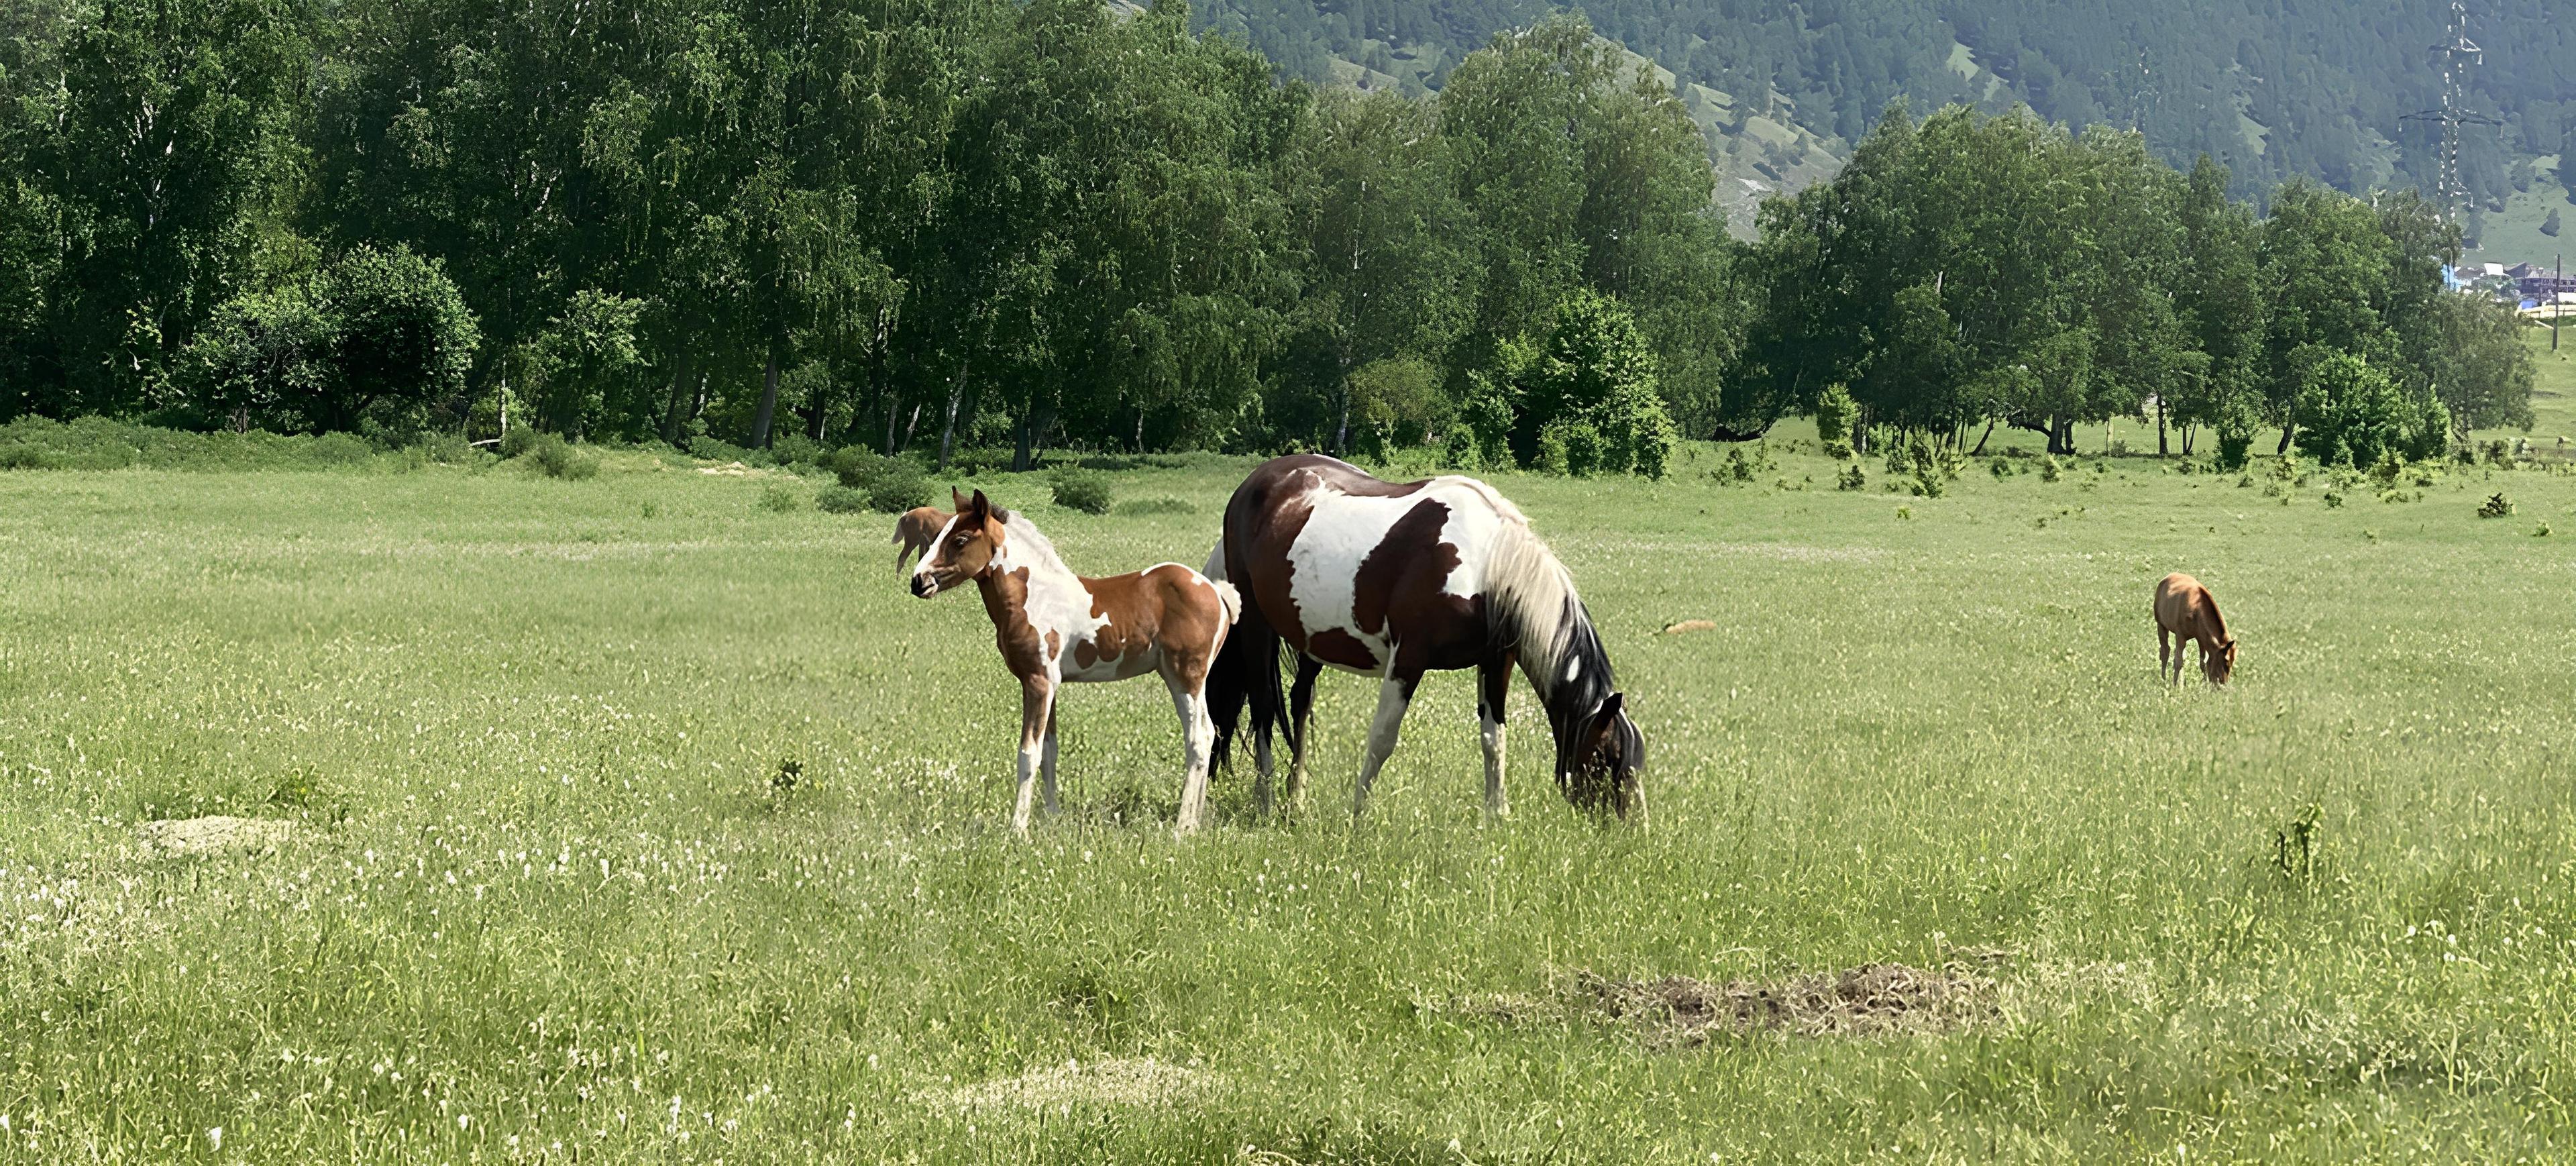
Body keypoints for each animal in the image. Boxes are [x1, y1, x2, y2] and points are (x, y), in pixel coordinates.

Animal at [912, 486, 1241, 834]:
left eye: (960, 540)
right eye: (939, 534)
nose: (918, 581)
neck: (1036, 597)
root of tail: (1215, 592)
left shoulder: (1038, 683)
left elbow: (1028, 754)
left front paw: (1018, 828)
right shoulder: (1048, 687)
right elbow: (1050, 751)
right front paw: (1051, 818)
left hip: (1184, 679)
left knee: (1198, 739)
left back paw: (1181, 828)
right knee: (1209, 734)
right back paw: (1196, 823)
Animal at [1210, 456, 1648, 818]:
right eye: (1607, 759)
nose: (1632, 830)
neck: (1486, 562)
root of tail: (1251, 485)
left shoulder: (1496, 661)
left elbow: (1494, 739)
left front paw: (1497, 818)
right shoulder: (1408, 659)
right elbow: (1383, 739)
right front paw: (1358, 816)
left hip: (1310, 637)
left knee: (1300, 702)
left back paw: (1297, 801)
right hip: (1256, 626)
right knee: (1264, 707)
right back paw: (1266, 802)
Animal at [2153, 571, 2236, 684]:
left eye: (2232, 662)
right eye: (2226, 662)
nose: (2222, 684)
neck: (2197, 612)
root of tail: (2167, 577)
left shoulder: (2202, 638)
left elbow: (2203, 662)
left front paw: (2205, 683)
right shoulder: (2180, 636)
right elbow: (2178, 662)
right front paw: (2175, 685)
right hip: (2161, 624)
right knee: (2165, 650)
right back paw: (2164, 678)